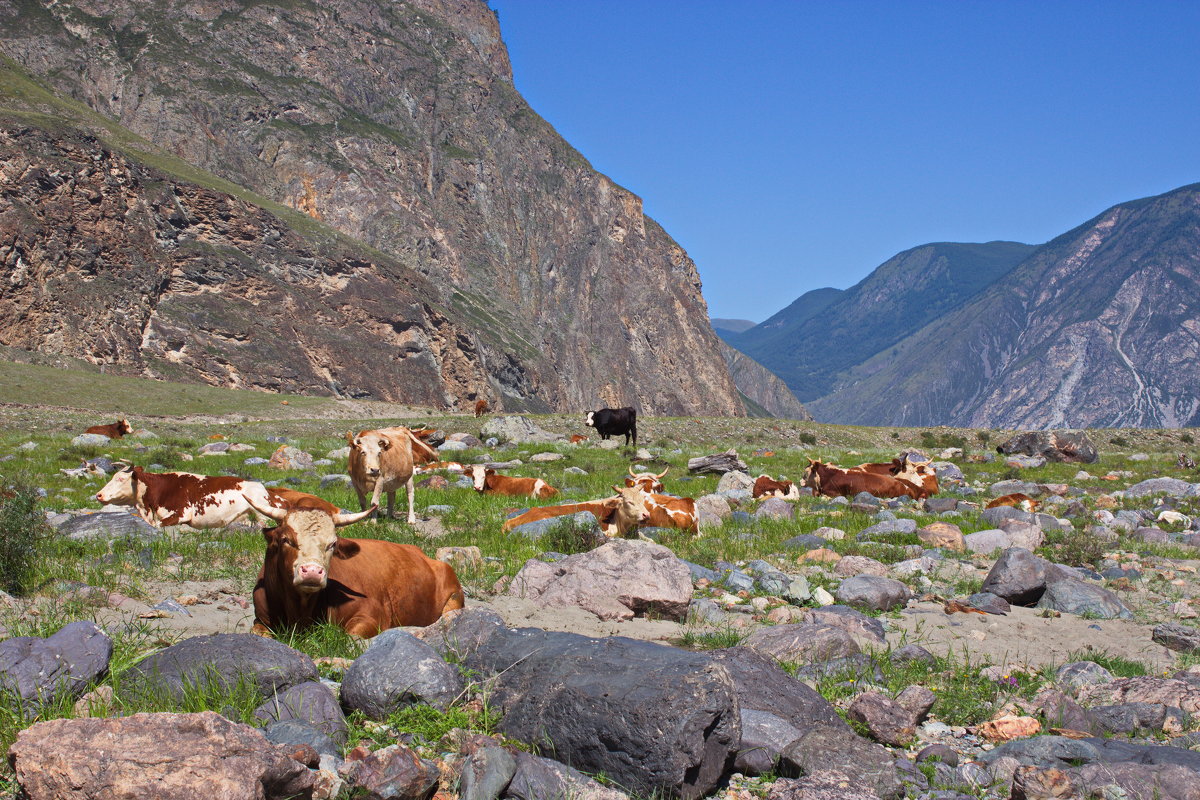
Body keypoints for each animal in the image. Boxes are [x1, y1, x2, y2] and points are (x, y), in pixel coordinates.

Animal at [248, 496, 463, 642]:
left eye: (332, 544)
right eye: (286, 539)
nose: (312, 572)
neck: (300, 610)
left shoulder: (370, 617)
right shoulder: (260, 620)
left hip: (453, 601)